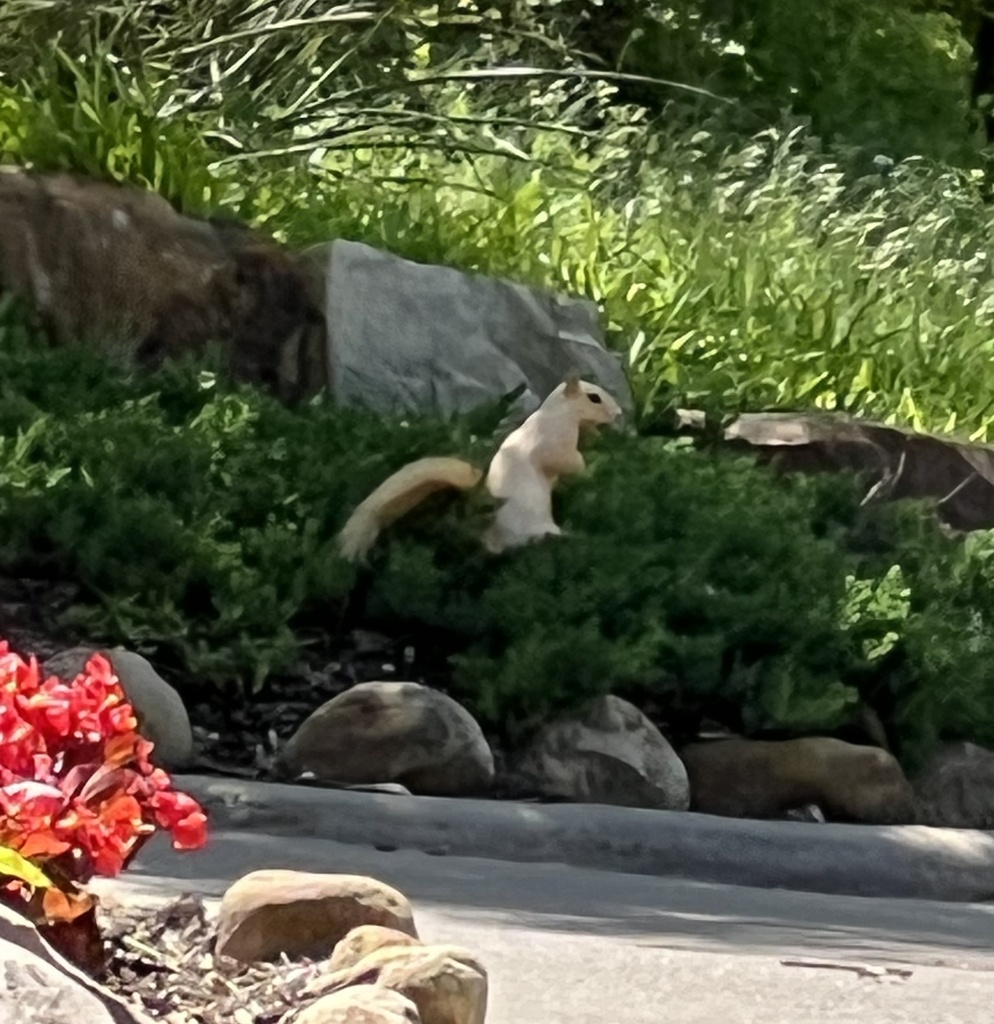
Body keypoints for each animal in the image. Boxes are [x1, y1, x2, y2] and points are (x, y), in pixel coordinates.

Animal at [338, 376, 623, 562]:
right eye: (594, 398)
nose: (619, 413)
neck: (557, 414)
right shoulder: (553, 442)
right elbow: (564, 461)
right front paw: (586, 468)